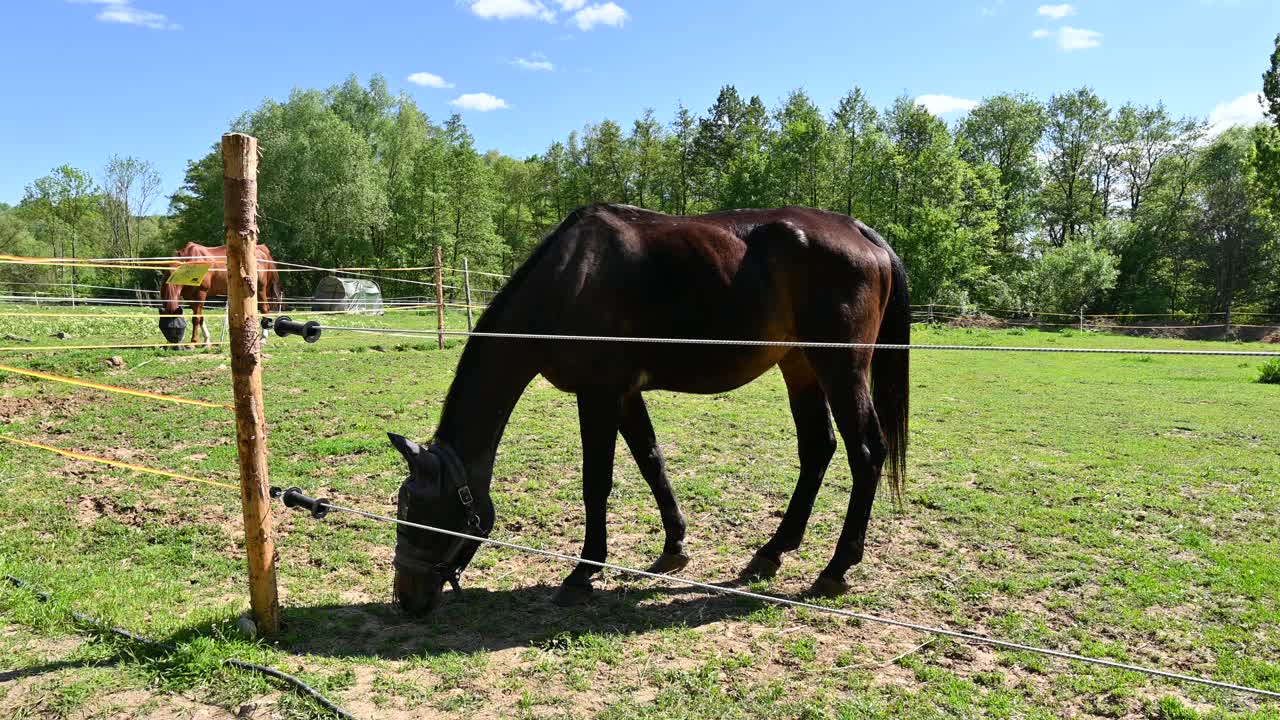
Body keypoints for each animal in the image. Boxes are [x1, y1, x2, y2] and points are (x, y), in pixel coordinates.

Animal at [389, 204, 911, 614]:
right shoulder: (624, 395)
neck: (569, 278)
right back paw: (772, 551)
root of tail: (860, 231)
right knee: (817, 449)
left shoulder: (598, 395)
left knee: (866, 453)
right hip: (799, 364)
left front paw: (583, 571)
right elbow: (651, 461)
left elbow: (596, 483)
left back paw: (836, 568)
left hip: (840, 367)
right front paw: (673, 547)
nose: (405, 598)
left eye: (419, 510)